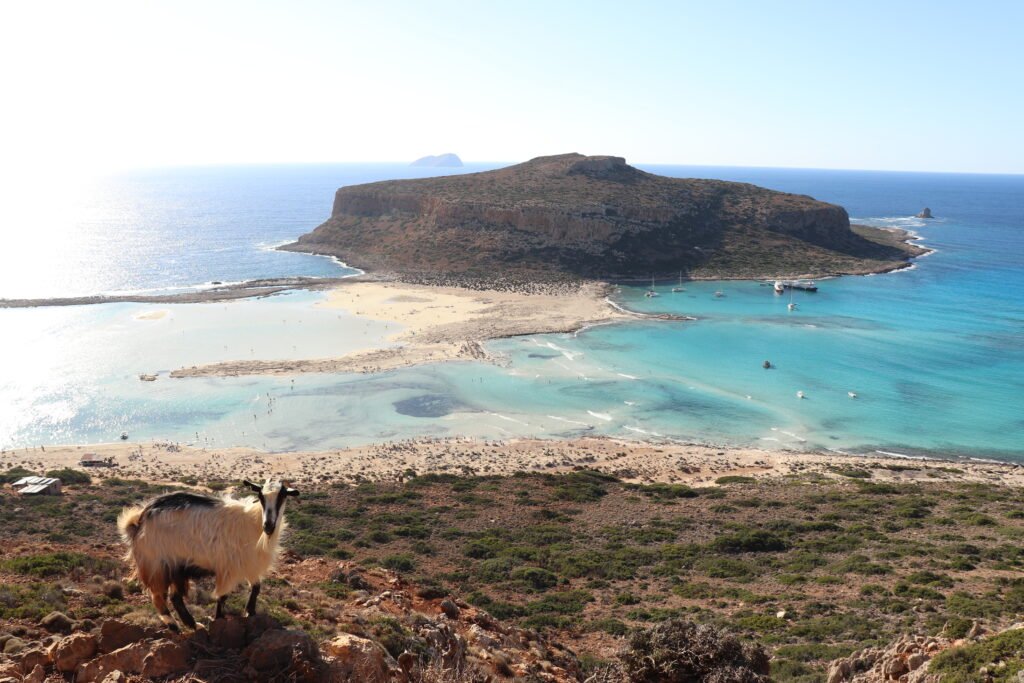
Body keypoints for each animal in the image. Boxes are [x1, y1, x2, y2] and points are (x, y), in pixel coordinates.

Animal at [117, 478, 299, 630]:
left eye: (282, 496)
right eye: (261, 496)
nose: (268, 525)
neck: (253, 524)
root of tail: (139, 521)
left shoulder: (250, 564)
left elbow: (256, 588)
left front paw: (250, 612)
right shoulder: (228, 567)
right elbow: (222, 596)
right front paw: (219, 619)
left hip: (177, 568)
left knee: (175, 597)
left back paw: (192, 625)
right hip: (157, 564)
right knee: (158, 596)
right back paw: (173, 625)